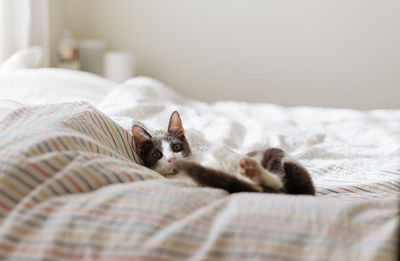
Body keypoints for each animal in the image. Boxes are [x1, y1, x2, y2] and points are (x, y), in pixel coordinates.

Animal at [131, 110, 316, 194]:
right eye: (157, 155)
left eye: (176, 147)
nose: (170, 159)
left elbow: (218, 147)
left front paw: (231, 161)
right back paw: (251, 172)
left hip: (277, 155)